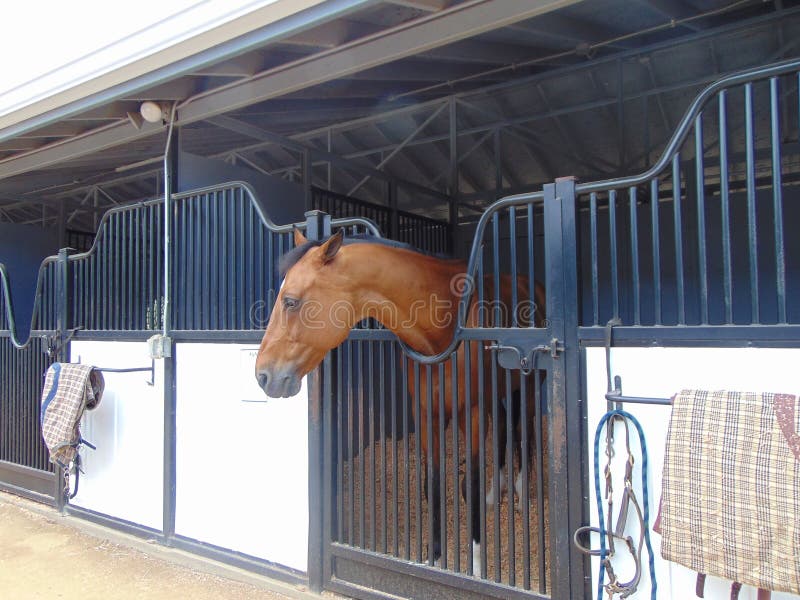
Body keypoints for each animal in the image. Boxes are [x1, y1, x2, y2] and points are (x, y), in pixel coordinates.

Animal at [253, 229, 548, 572]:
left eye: (291, 301)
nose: (263, 375)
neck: (443, 326)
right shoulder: (426, 415)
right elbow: (433, 482)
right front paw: (435, 558)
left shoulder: (472, 414)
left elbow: (472, 481)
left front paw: (475, 567)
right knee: (505, 428)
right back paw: (495, 493)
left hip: (526, 388)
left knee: (523, 430)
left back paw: (520, 495)